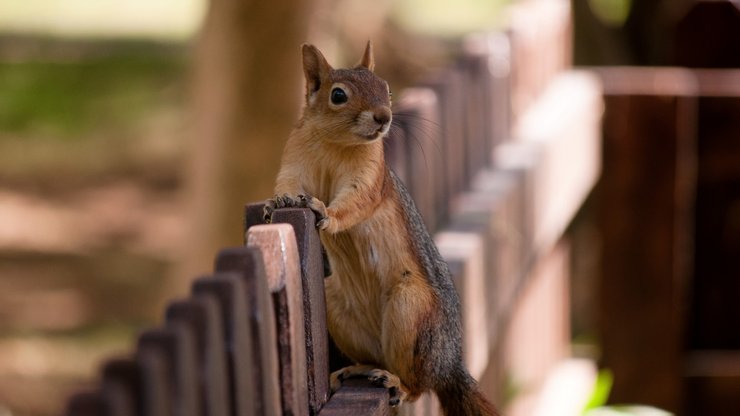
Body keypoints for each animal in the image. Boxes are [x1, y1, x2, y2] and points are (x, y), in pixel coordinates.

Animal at [264, 39, 500, 416]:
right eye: (338, 95)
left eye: (386, 88)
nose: (383, 117)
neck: (335, 144)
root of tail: (449, 364)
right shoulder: (295, 161)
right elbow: (287, 183)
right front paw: (278, 203)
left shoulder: (370, 176)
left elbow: (356, 201)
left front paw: (325, 211)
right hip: (340, 309)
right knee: (378, 357)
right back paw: (358, 369)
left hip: (411, 310)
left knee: (419, 385)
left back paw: (398, 384)